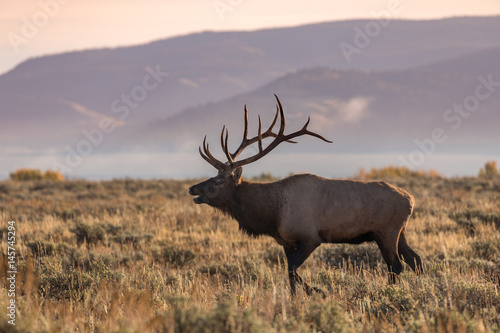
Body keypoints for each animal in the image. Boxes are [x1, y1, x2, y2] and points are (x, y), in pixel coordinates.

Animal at [189, 94, 424, 294]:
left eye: (219, 181)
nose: (192, 188)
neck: (272, 214)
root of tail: (410, 199)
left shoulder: (310, 238)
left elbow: (293, 269)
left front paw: (318, 291)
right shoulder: (286, 242)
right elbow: (290, 274)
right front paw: (297, 300)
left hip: (386, 231)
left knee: (396, 265)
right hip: (400, 231)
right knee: (416, 260)